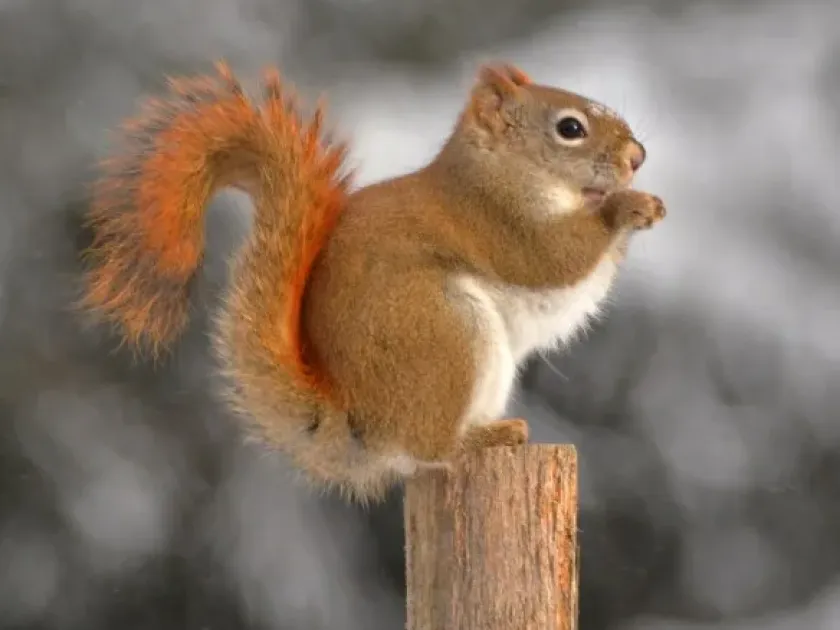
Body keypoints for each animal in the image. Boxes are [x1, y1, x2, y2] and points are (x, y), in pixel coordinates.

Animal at [80, 61, 665, 502]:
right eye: (570, 128)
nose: (638, 156)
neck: (494, 172)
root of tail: (361, 423)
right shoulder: (500, 225)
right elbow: (556, 260)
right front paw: (626, 206)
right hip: (443, 329)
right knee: (431, 449)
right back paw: (488, 436)